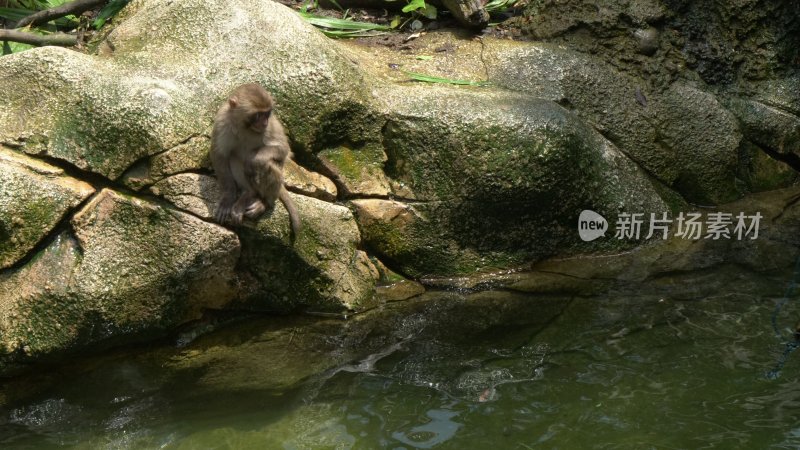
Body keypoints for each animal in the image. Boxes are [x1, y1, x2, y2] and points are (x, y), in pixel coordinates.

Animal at [211, 83, 302, 237]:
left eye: (267, 113)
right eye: (258, 114)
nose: (264, 122)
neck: (245, 127)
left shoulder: (270, 126)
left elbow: (283, 149)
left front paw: (254, 160)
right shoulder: (222, 121)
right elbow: (220, 155)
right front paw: (228, 198)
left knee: (266, 164)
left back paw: (264, 202)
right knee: (233, 156)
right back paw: (249, 193)